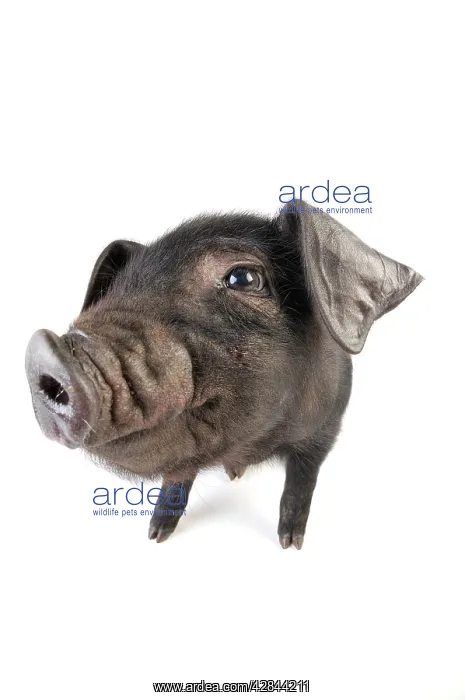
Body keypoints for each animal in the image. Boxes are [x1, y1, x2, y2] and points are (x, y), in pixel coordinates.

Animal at [25, 201, 423, 549]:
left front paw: (290, 544)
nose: (44, 349)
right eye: (113, 288)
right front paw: (155, 536)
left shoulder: (325, 429)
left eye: (243, 278)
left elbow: (301, 480)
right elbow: (177, 475)